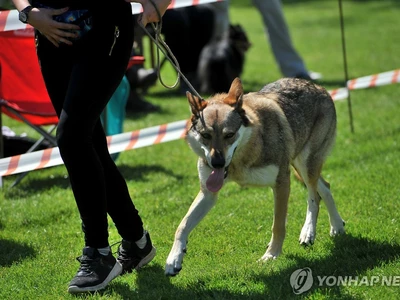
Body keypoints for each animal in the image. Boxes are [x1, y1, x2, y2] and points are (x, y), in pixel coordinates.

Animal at [164, 78, 346, 276]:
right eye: (206, 135)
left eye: (229, 135)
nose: (217, 163)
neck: (240, 161)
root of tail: (318, 86)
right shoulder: (208, 193)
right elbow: (182, 226)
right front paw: (173, 260)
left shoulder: (282, 182)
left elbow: (278, 225)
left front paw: (271, 255)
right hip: (301, 165)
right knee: (325, 187)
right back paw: (337, 226)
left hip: (305, 164)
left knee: (314, 197)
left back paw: (308, 233)